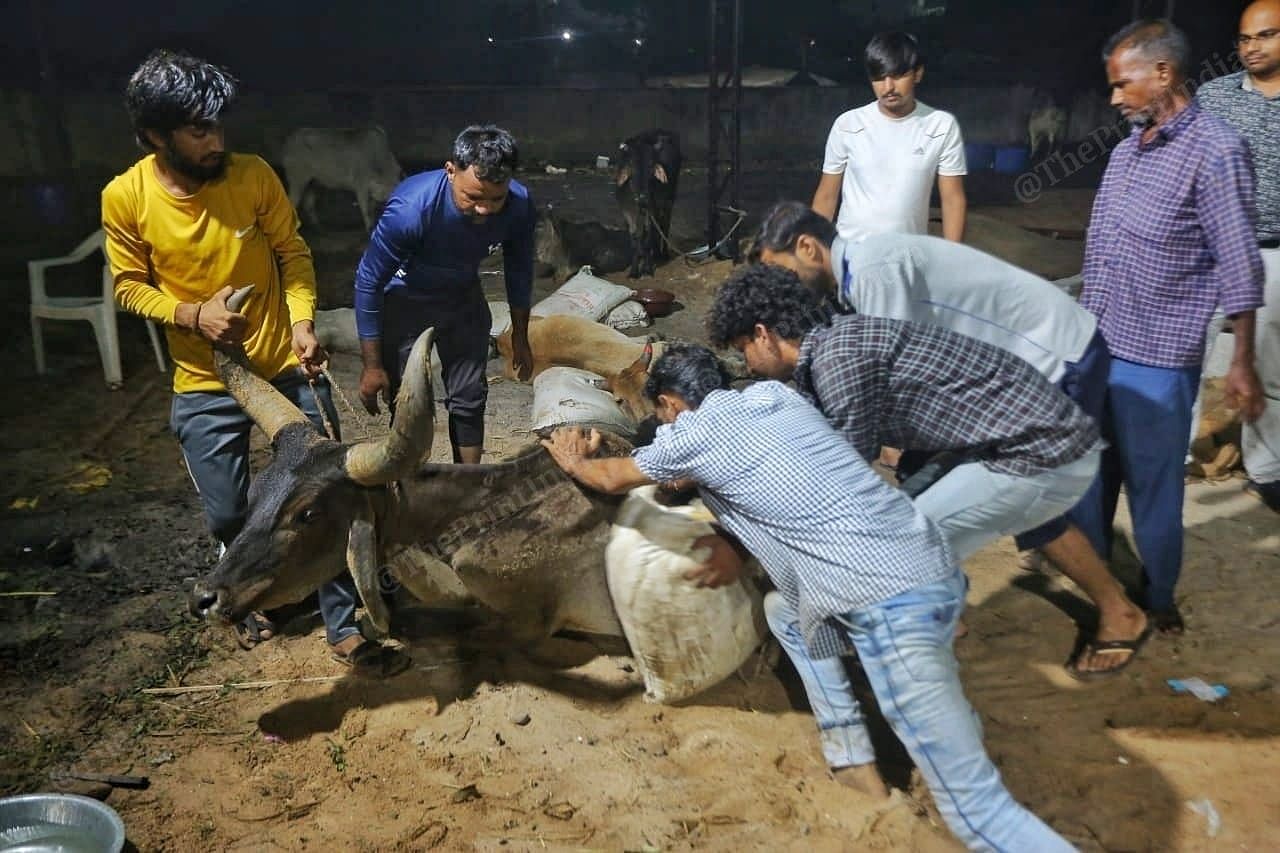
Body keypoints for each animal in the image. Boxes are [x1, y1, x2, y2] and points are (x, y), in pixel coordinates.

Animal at [616, 129, 686, 277]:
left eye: (651, 167)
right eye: (632, 166)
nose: (643, 199)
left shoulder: (652, 209)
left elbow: (648, 237)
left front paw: (647, 269)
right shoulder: (627, 212)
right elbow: (635, 239)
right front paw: (634, 271)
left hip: (668, 200)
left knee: (664, 225)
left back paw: (662, 254)